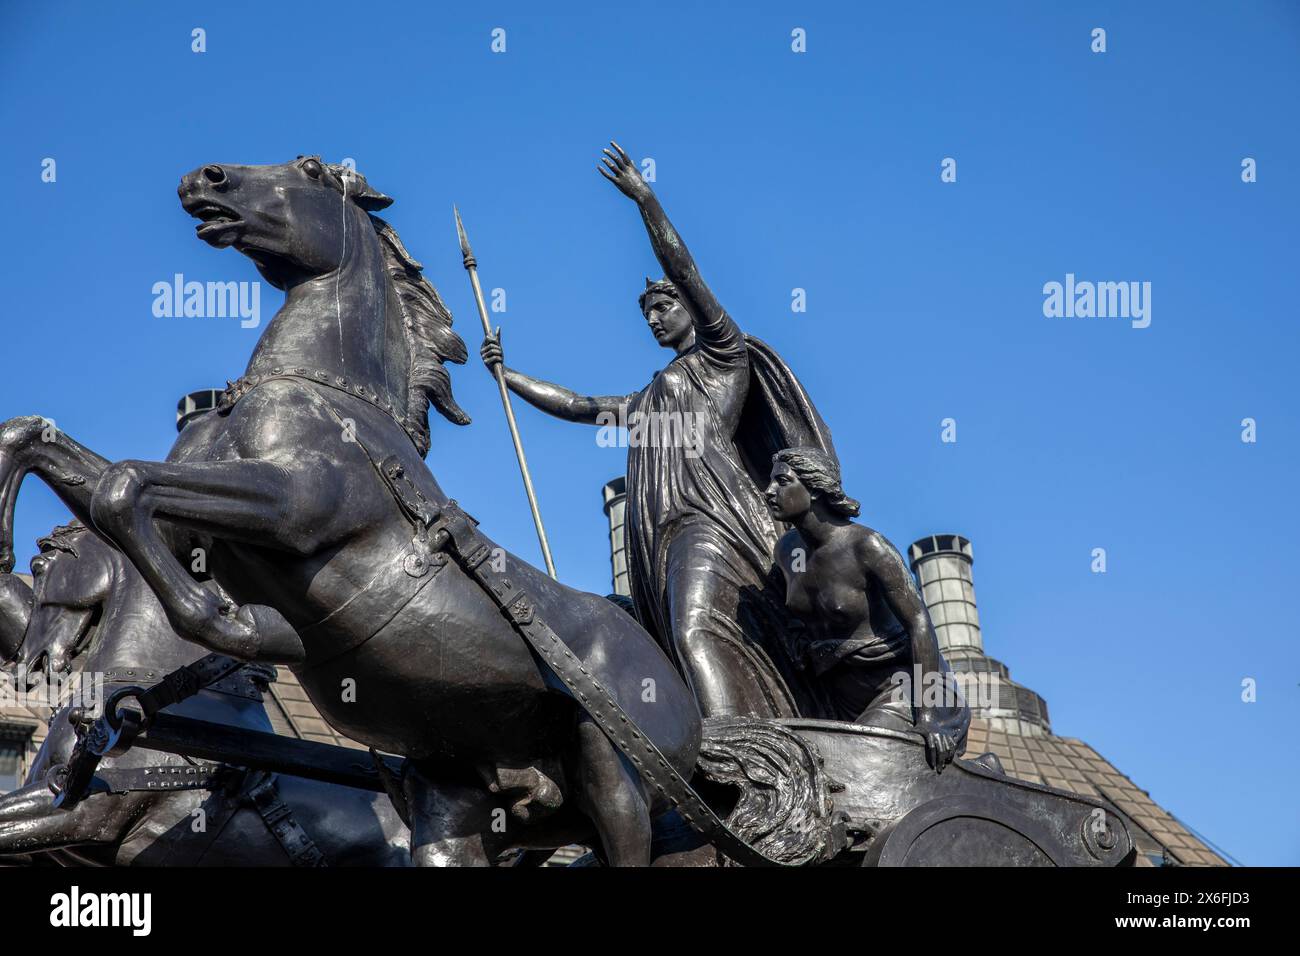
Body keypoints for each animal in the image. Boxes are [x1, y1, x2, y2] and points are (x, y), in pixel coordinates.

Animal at [0, 158, 702, 868]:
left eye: (310, 169)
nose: (206, 177)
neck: (328, 398)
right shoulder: (182, 526)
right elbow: (57, 450)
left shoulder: (295, 506)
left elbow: (124, 485)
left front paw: (235, 620)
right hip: (463, 804)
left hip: (614, 774)